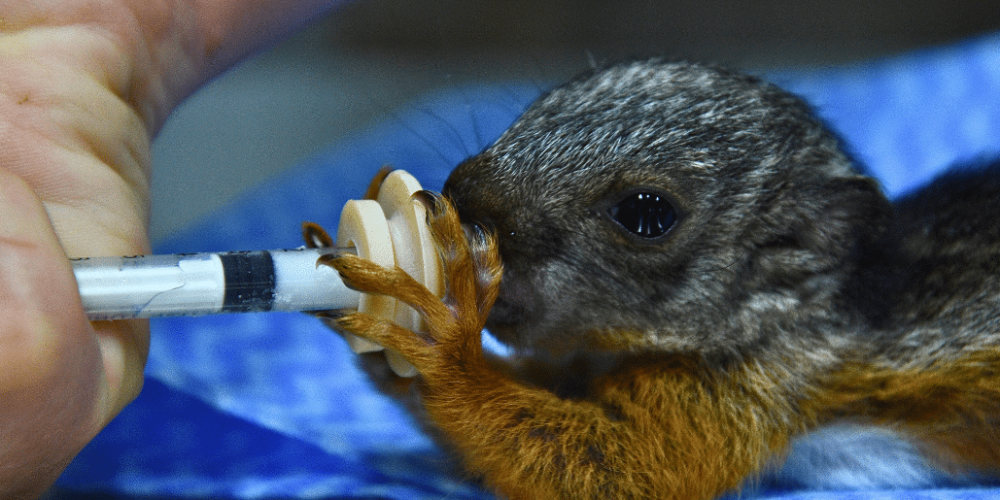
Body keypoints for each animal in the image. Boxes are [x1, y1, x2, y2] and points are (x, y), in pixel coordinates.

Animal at [302, 59, 1000, 500]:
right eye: (541, 102)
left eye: (647, 215)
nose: (462, 194)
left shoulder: (747, 390)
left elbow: (617, 466)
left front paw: (442, 340)